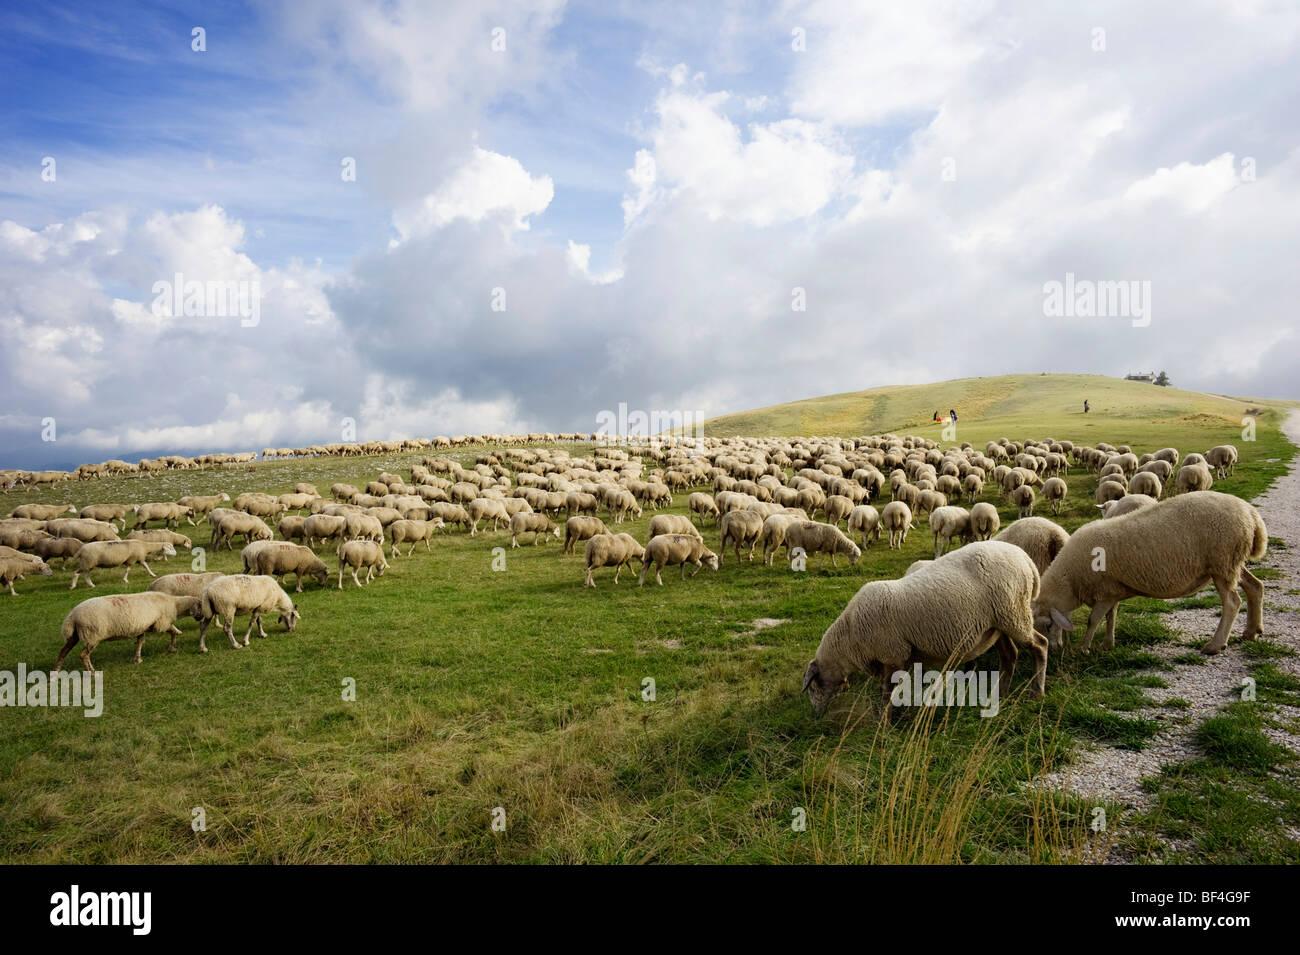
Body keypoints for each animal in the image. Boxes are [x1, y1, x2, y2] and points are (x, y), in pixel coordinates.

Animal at [54, 589, 200, 670]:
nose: (201, 618)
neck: (175, 604)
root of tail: (72, 616)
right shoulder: (160, 623)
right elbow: (173, 631)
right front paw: (173, 647)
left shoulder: (143, 627)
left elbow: (140, 642)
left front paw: (138, 659)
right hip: (92, 635)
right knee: (83, 655)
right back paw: (92, 672)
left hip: (75, 635)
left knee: (63, 652)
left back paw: (55, 674)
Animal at [800, 540, 1045, 722]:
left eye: (812, 688)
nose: (816, 716)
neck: (850, 637)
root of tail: (1025, 558)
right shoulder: (902, 656)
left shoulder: (894, 654)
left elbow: (887, 692)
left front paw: (884, 724)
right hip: (998, 624)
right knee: (1010, 654)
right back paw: (1001, 693)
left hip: (1015, 614)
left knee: (1040, 645)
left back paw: (1037, 692)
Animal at [1029, 493, 1263, 657]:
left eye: (1048, 625)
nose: (1053, 650)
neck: (1070, 580)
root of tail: (1251, 515)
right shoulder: (1112, 590)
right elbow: (1111, 616)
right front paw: (1107, 644)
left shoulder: (1104, 591)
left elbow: (1093, 620)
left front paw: (1084, 648)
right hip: (1232, 562)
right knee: (1255, 586)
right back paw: (1251, 631)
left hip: (1222, 562)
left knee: (1232, 602)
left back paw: (1215, 645)